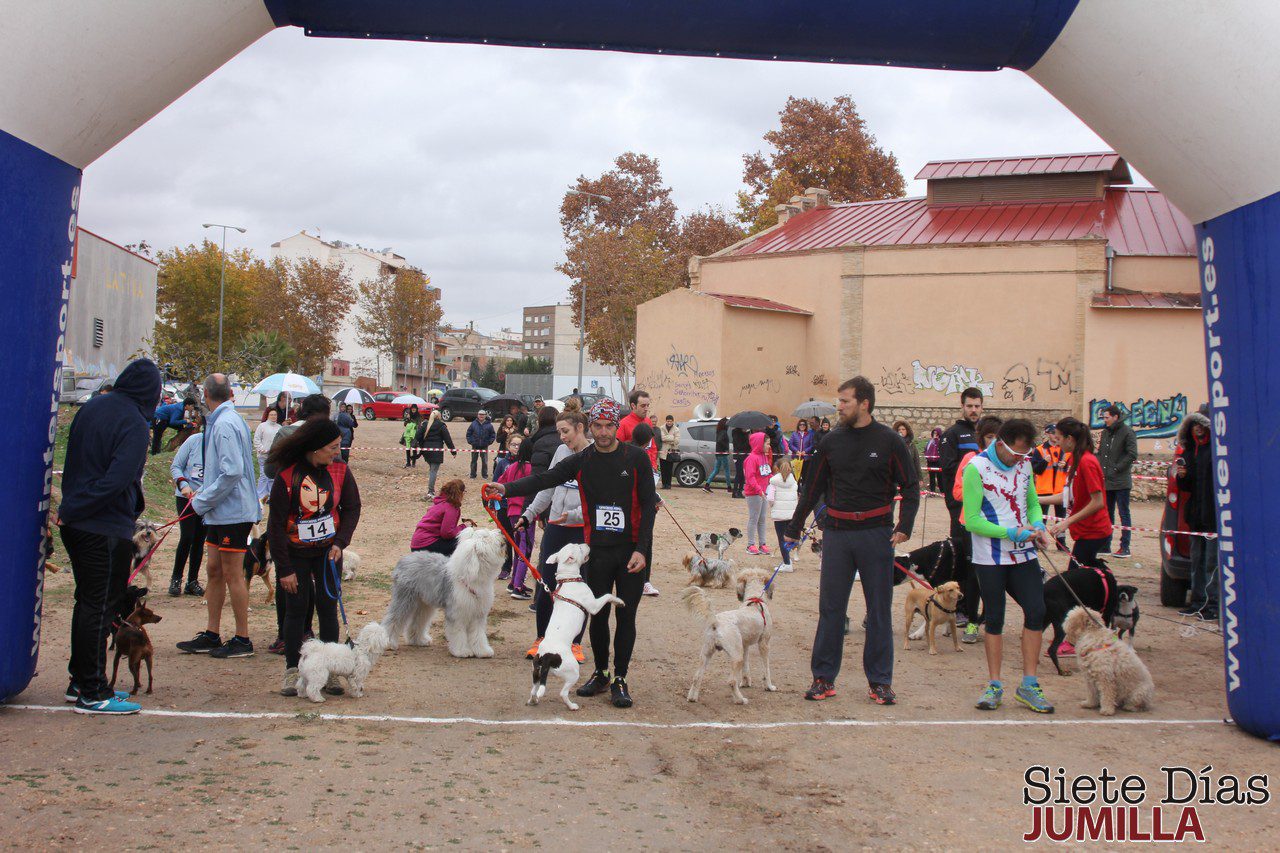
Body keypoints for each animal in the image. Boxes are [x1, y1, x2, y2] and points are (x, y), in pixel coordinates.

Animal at [378, 525, 504, 655]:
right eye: (485, 537)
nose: (501, 533)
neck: (475, 576)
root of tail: (404, 559)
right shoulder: (457, 612)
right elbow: (458, 633)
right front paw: (462, 651)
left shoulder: (478, 613)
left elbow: (478, 635)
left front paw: (483, 651)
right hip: (404, 599)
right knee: (393, 619)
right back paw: (388, 643)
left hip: (423, 603)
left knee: (417, 621)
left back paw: (419, 640)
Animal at [529, 545, 624, 712]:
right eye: (579, 547)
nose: (586, 544)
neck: (568, 579)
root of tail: (547, 656)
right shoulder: (594, 606)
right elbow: (607, 596)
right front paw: (618, 601)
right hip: (573, 672)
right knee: (562, 693)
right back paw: (572, 706)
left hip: (536, 672)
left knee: (534, 690)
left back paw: (533, 700)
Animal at [680, 568, 778, 701]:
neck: (754, 601)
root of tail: (716, 622)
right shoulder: (764, 644)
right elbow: (766, 669)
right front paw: (769, 686)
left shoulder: (745, 646)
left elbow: (746, 667)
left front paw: (745, 682)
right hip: (736, 656)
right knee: (731, 681)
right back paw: (740, 700)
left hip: (706, 654)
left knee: (697, 677)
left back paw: (692, 698)